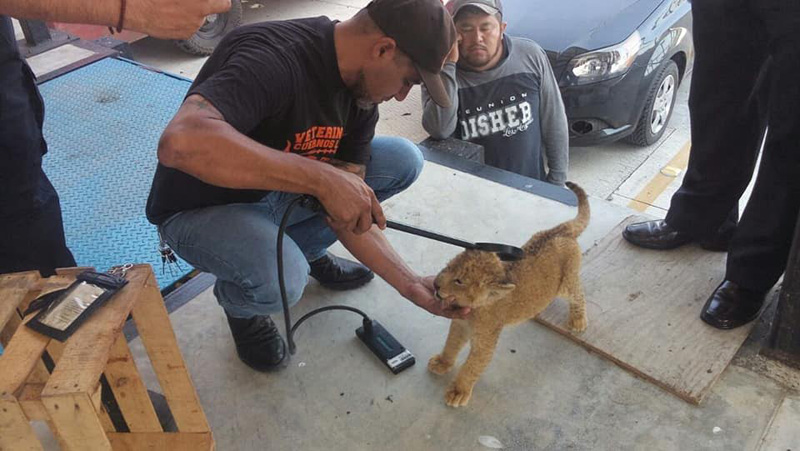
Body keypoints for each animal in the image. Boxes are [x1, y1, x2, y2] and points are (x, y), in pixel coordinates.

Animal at [429, 182, 590, 407]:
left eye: (459, 281)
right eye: (448, 266)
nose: (435, 285)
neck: (473, 311)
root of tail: (559, 230)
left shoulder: (486, 340)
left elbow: (472, 366)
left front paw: (458, 392)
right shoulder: (459, 325)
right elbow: (451, 345)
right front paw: (442, 363)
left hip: (567, 282)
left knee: (579, 296)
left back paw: (578, 321)